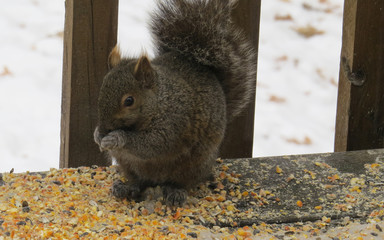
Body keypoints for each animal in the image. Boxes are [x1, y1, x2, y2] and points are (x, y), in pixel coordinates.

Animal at [93, 0, 256, 206]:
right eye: (101, 90)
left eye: (129, 101)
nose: (104, 129)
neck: (160, 101)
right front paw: (98, 135)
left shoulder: (174, 122)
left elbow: (152, 144)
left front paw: (116, 138)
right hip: (128, 165)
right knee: (139, 181)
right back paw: (126, 187)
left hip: (193, 165)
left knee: (183, 181)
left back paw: (176, 191)